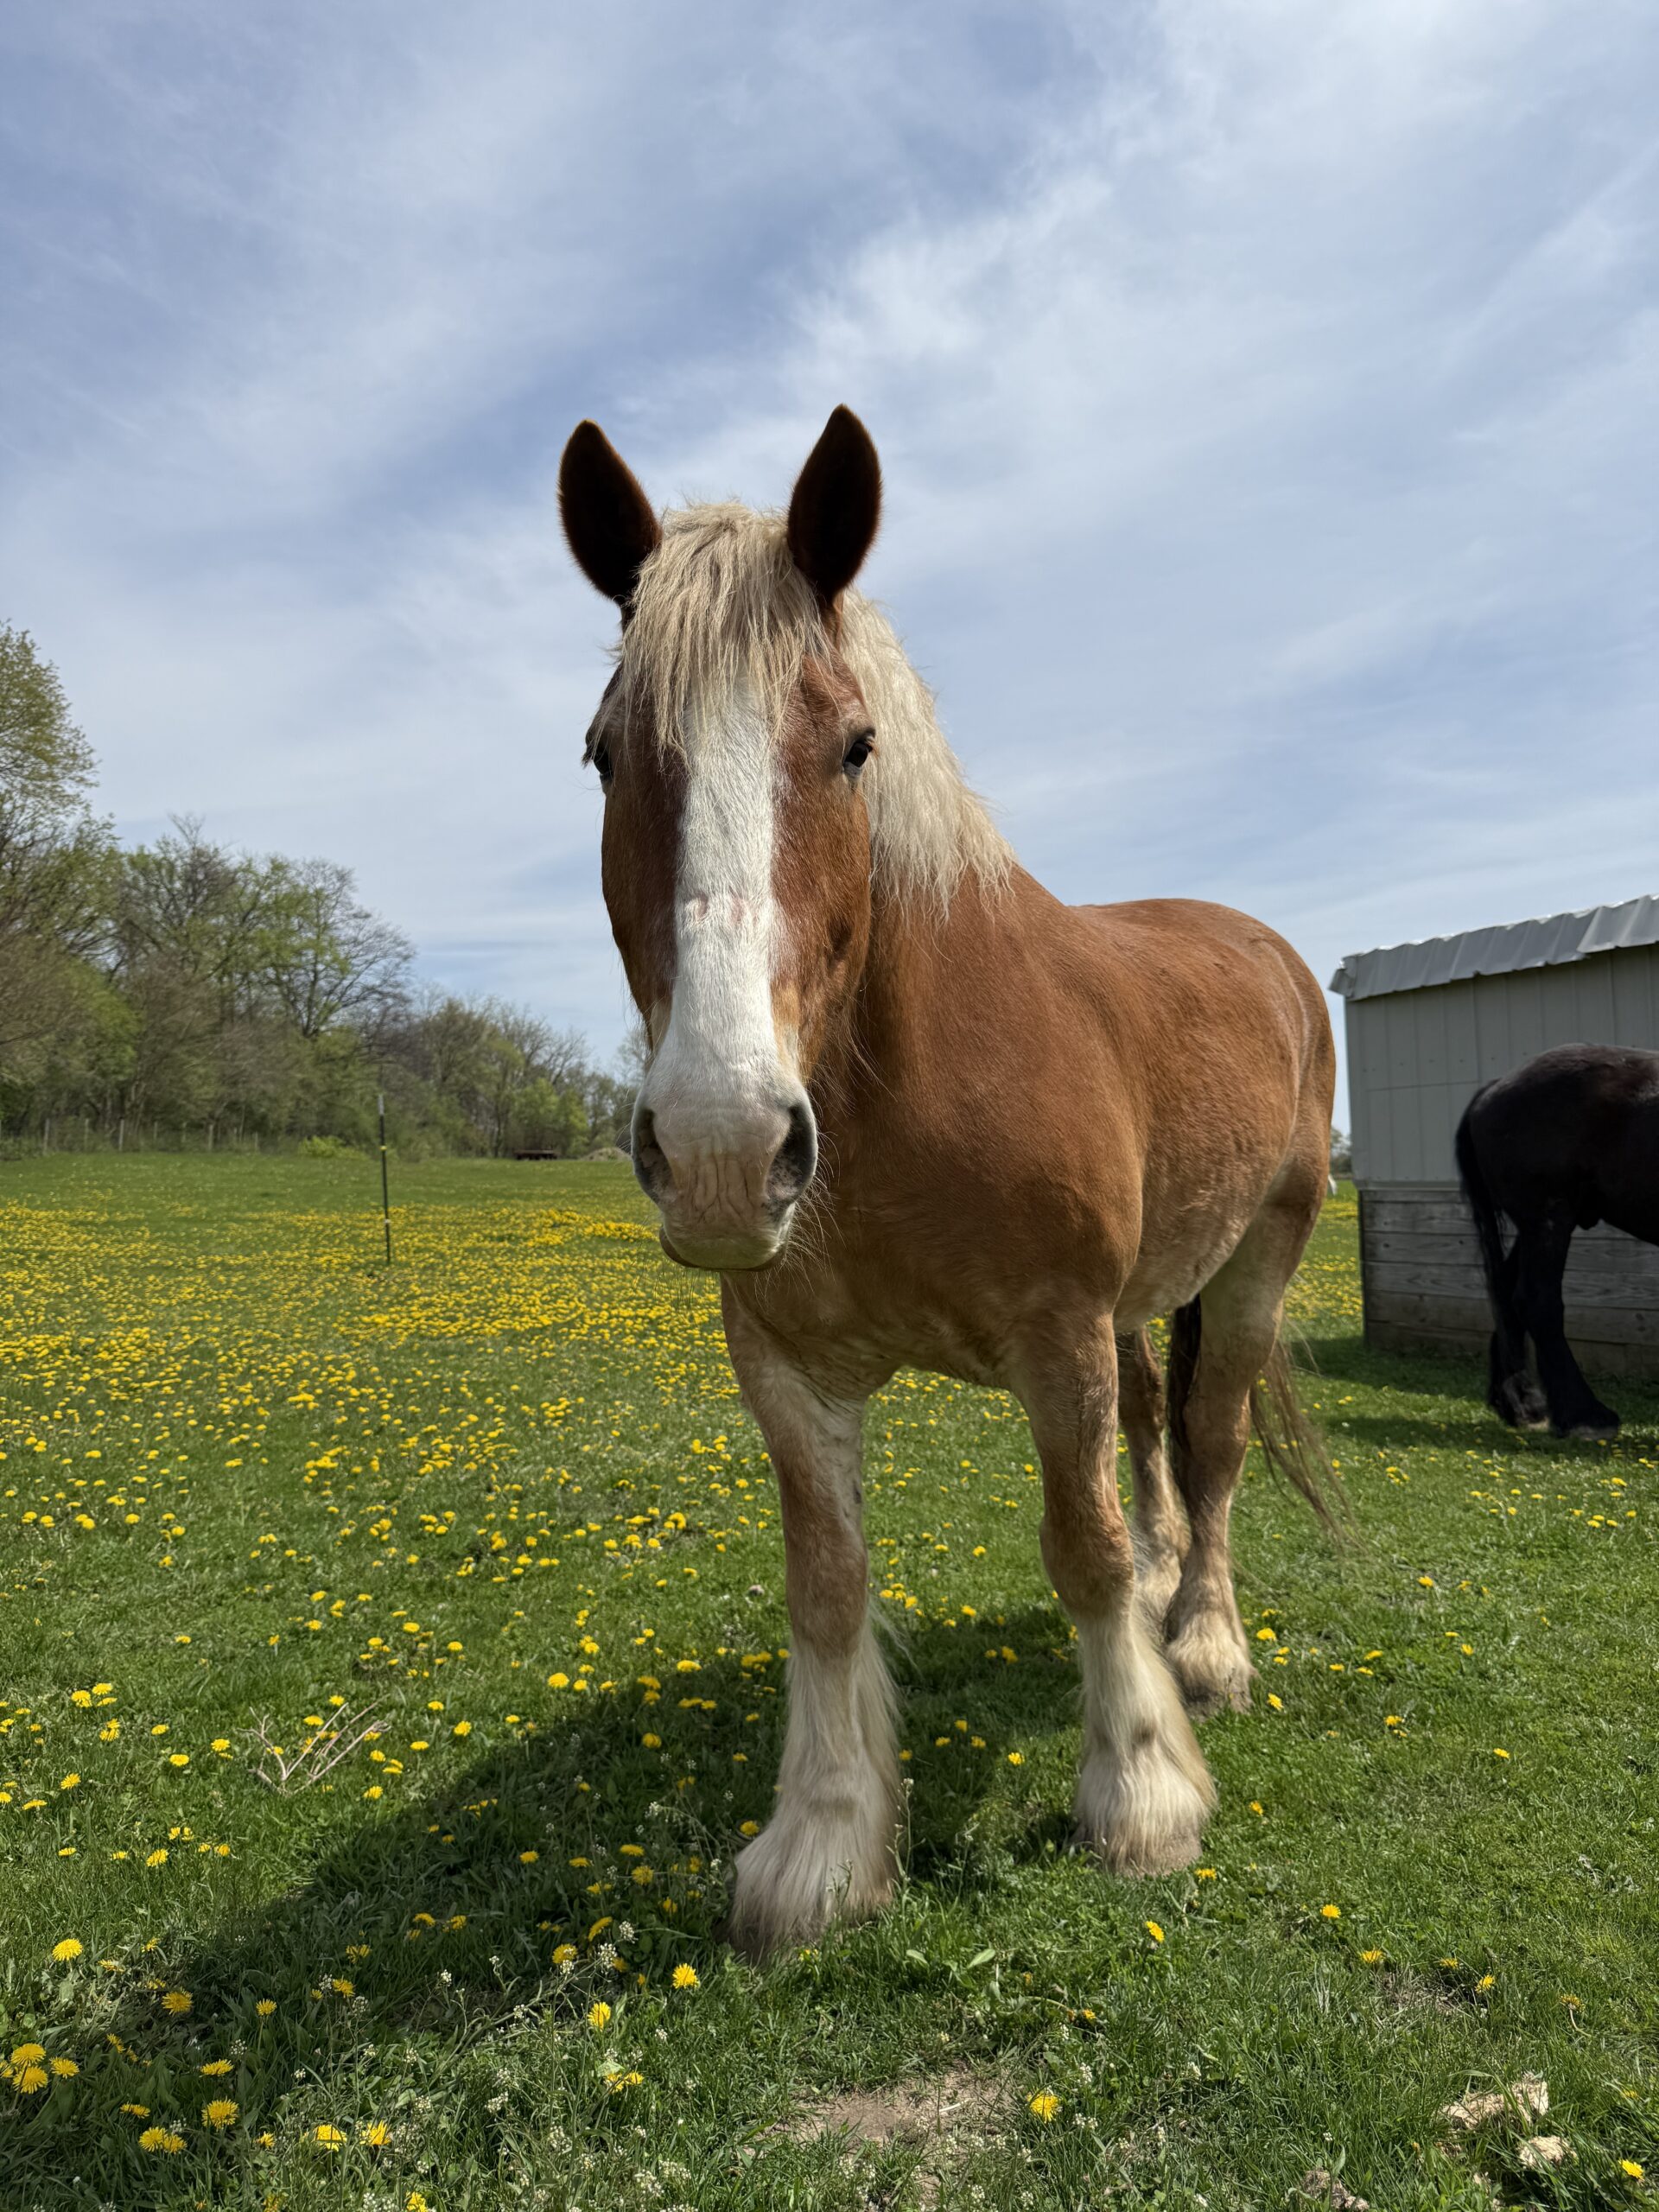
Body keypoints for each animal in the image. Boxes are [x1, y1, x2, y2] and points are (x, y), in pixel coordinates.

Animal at [558, 405, 1337, 1956]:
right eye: (607, 755)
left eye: (855, 746)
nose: (725, 1147)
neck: (900, 1099)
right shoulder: (786, 1366)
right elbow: (827, 1583)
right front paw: (823, 1841)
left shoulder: (1057, 1340)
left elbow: (1083, 1546)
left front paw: (1142, 1795)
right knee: (1160, 1437)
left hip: (1259, 1261)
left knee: (1212, 1445)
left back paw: (1206, 1642)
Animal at [1456, 1041, 1659, 1440]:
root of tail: (1495, 1087)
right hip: (1548, 1220)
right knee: (1538, 1302)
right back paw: (1585, 1415)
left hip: (1538, 1227)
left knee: (1506, 1293)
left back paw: (1520, 1402)